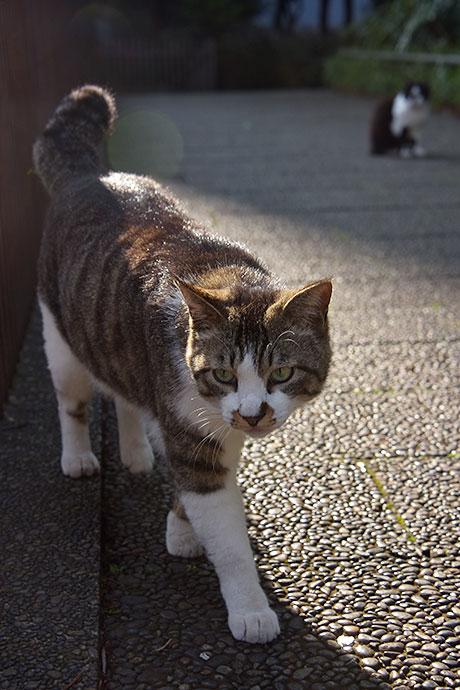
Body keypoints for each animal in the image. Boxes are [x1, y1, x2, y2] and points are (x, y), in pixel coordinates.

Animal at [34, 84, 332, 640]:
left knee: (126, 394)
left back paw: (134, 451)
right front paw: (250, 609)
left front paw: (180, 528)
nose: (253, 415)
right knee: (74, 402)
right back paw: (79, 456)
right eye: (223, 373)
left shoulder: (213, 428)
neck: (225, 271)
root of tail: (87, 175)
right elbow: (227, 537)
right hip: (61, 339)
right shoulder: (190, 424)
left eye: (281, 373)